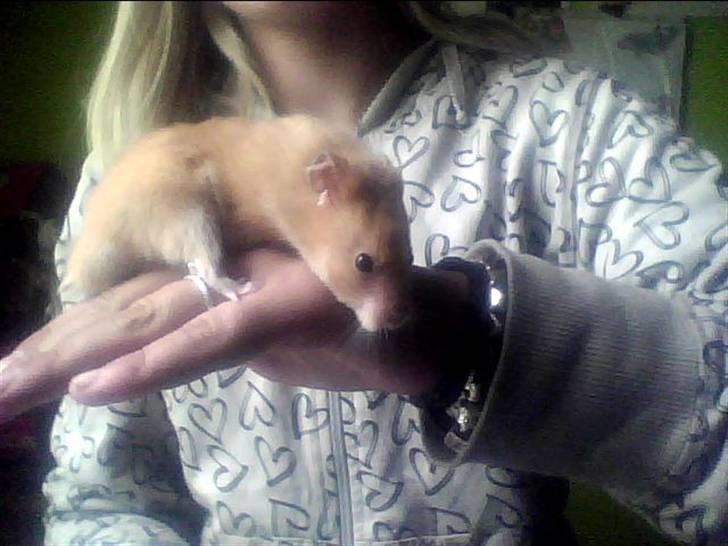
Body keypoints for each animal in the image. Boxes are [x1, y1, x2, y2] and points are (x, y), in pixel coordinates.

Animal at [62, 115, 413, 331]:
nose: (398, 321)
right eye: (363, 263)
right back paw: (241, 288)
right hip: (189, 215)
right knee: (203, 266)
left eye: (410, 257)